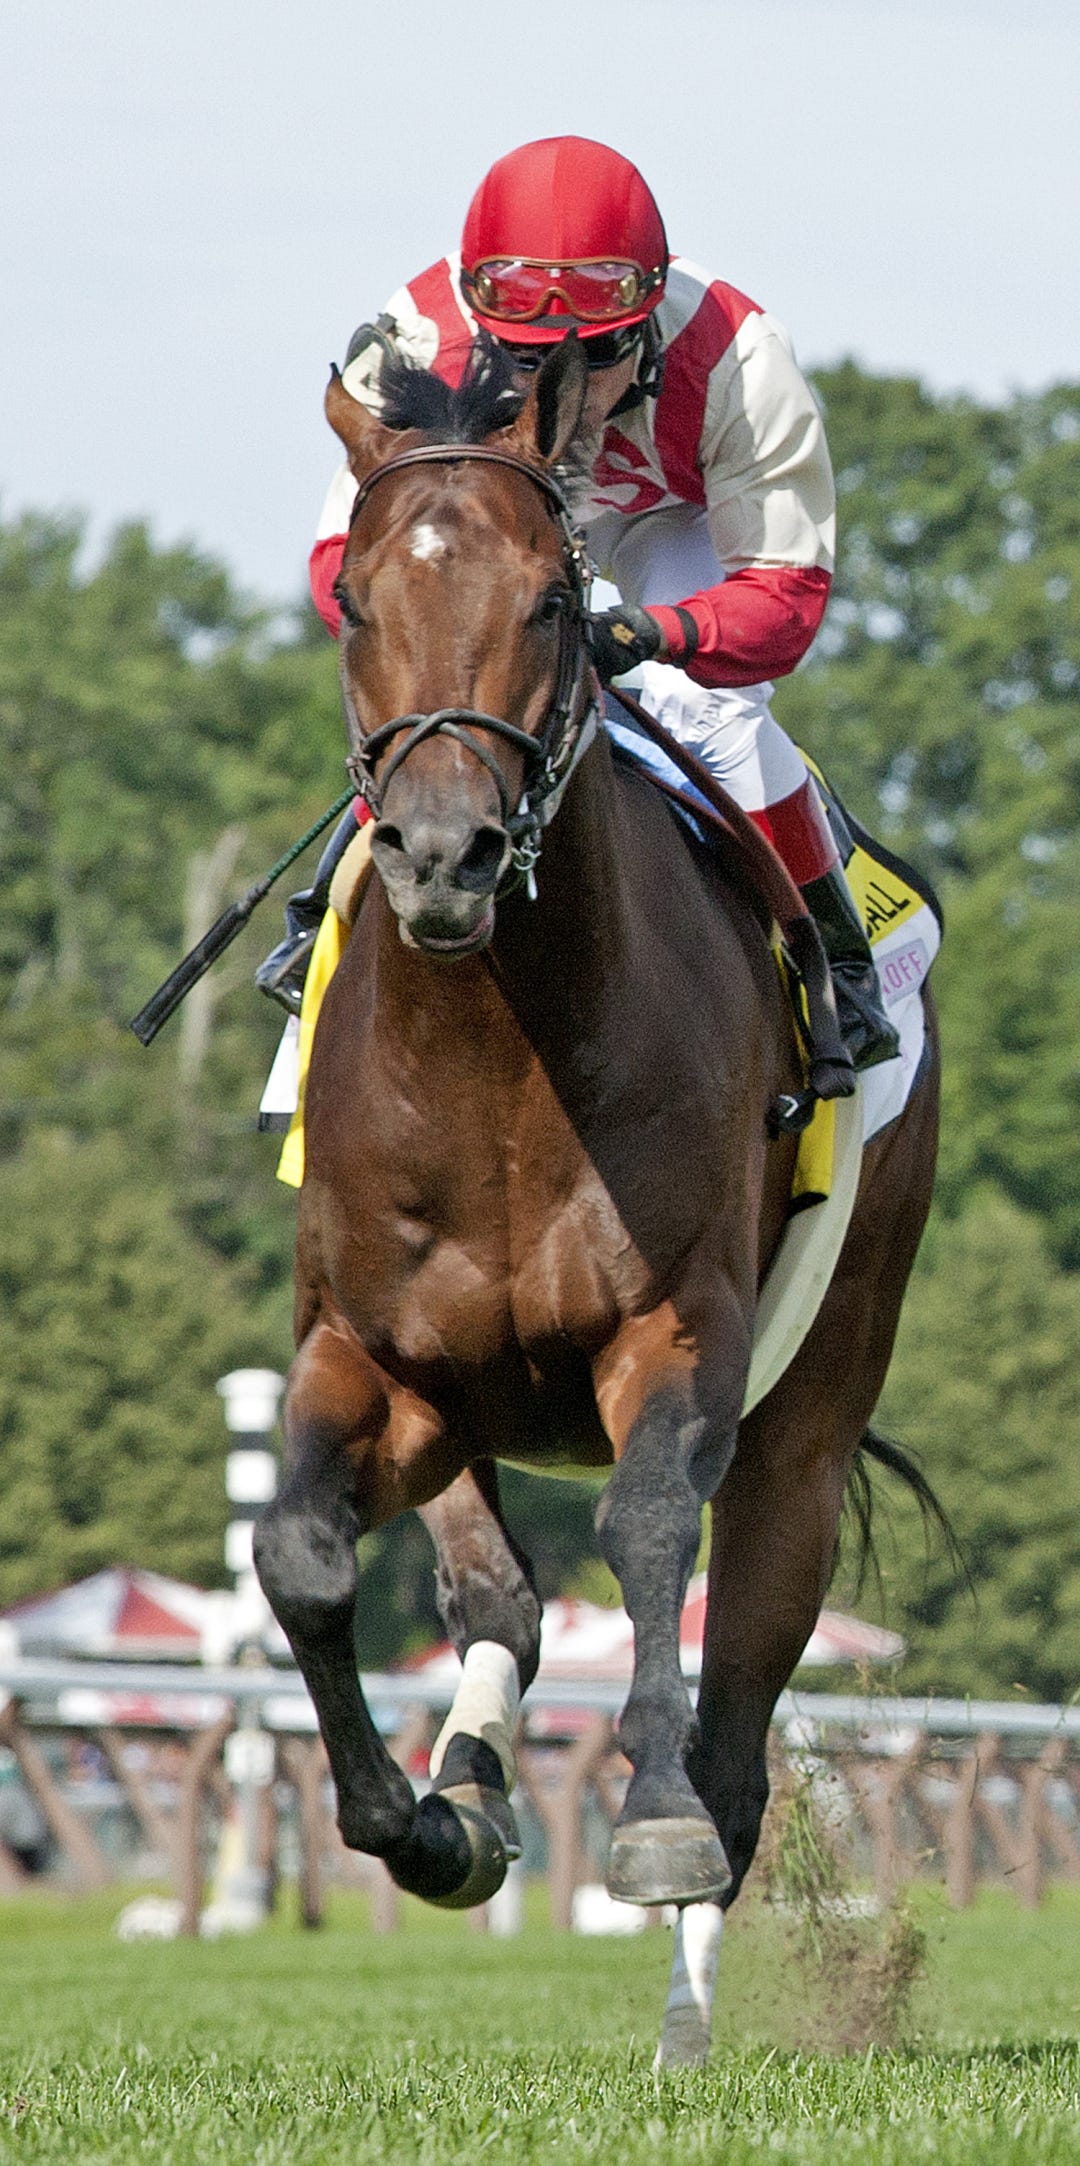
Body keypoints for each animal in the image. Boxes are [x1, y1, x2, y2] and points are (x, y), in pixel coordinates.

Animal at [252, 333, 940, 2062]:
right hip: (463, 1409)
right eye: (357, 600)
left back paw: (687, 2007)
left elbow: (642, 1535)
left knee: (746, 1697)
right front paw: (426, 1822)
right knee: (498, 1599)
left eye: (555, 609)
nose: (441, 854)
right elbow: (304, 1557)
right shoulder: (376, 1356)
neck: (496, 1052)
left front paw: (652, 1819)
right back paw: (473, 1785)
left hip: (815, 1409)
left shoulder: (672, 1329)